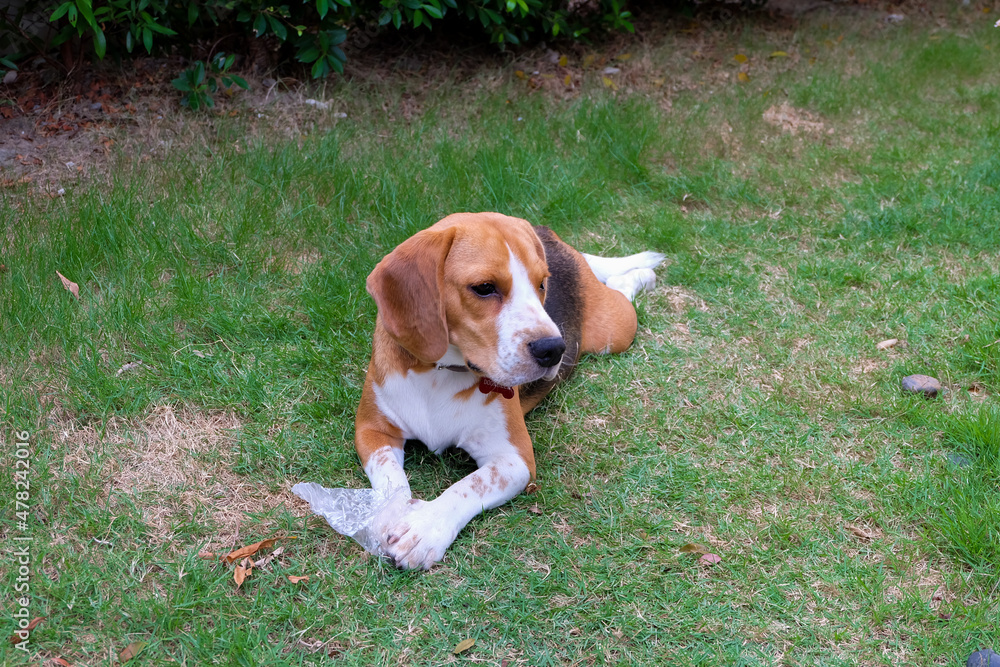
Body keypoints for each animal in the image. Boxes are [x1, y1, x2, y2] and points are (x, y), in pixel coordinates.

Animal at [356, 213, 660, 568]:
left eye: (542, 284)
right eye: (484, 288)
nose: (554, 349)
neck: (440, 372)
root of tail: (547, 233)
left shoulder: (516, 461)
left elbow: (468, 486)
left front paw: (425, 528)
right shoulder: (372, 430)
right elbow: (391, 479)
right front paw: (392, 515)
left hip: (616, 330)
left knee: (623, 293)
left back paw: (642, 276)